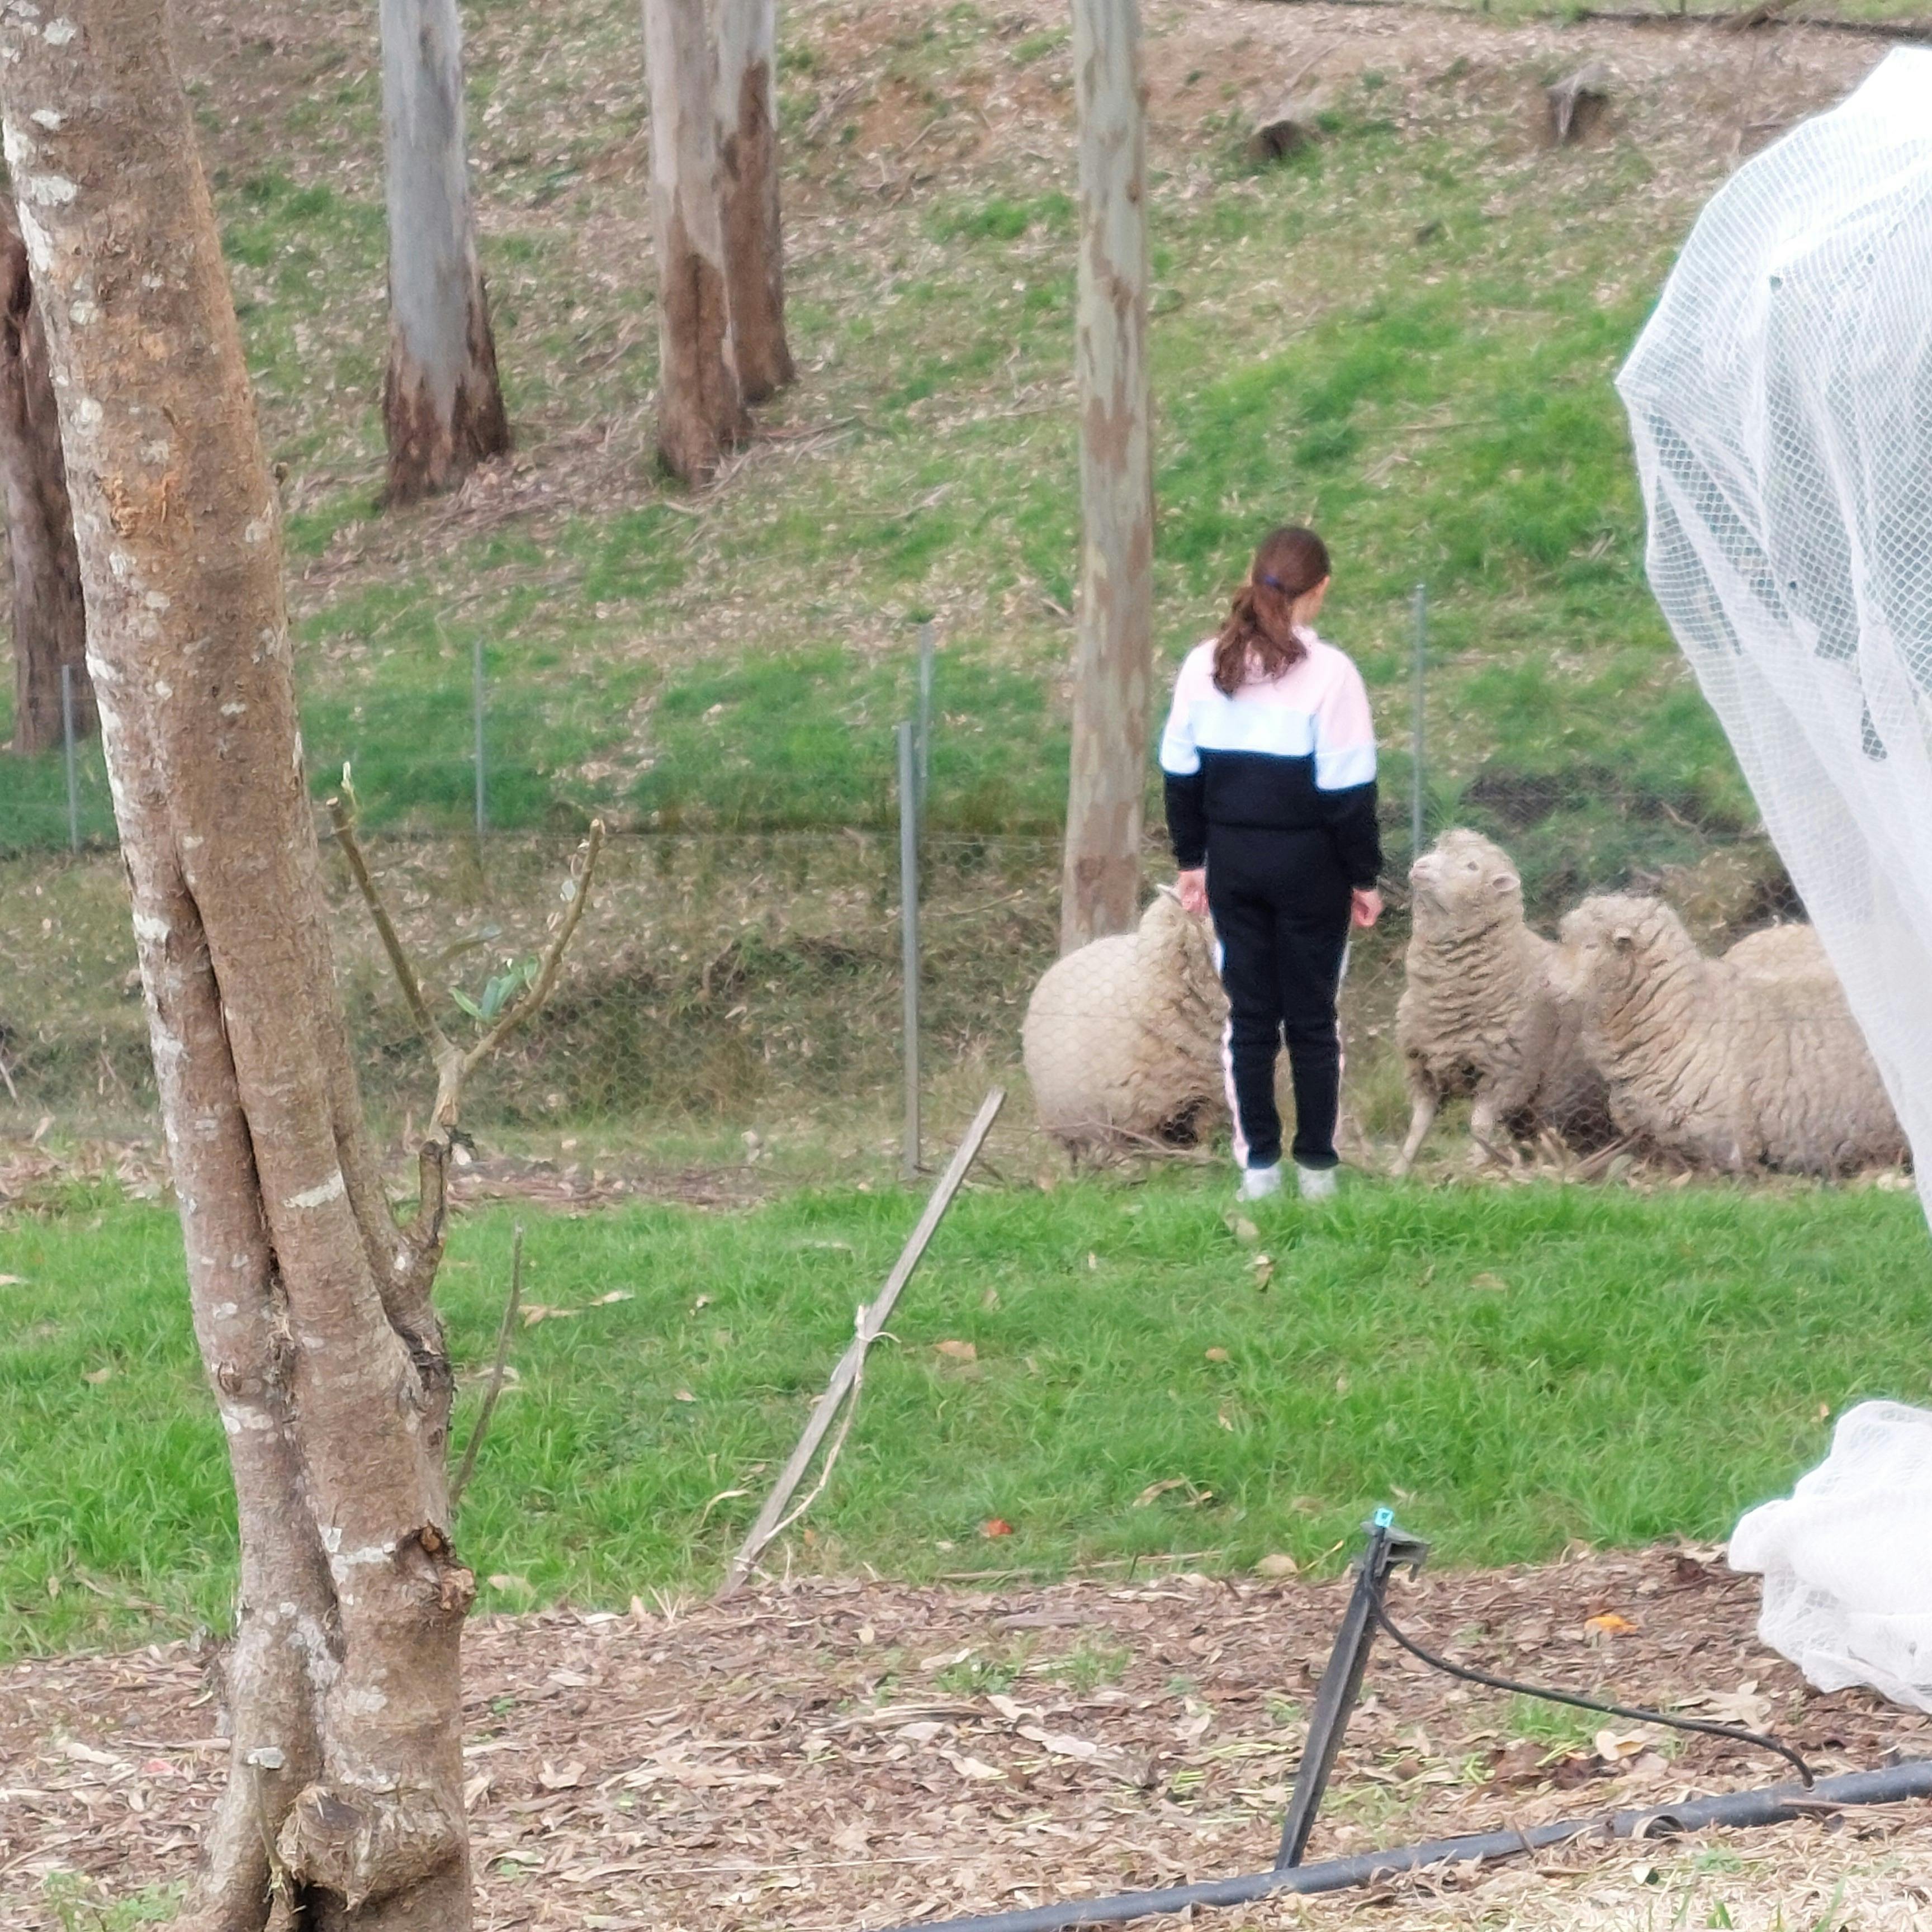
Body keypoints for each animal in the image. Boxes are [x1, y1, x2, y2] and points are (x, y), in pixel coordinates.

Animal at [1394, 828, 1610, 1175]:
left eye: (1472, 867)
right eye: (1437, 848)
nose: (1421, 866)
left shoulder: (1507, 1076)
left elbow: (1479, 1126)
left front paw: (1475, 1169)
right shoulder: (1422, 1068)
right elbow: (1419, 1125)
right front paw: (1399, 1168)